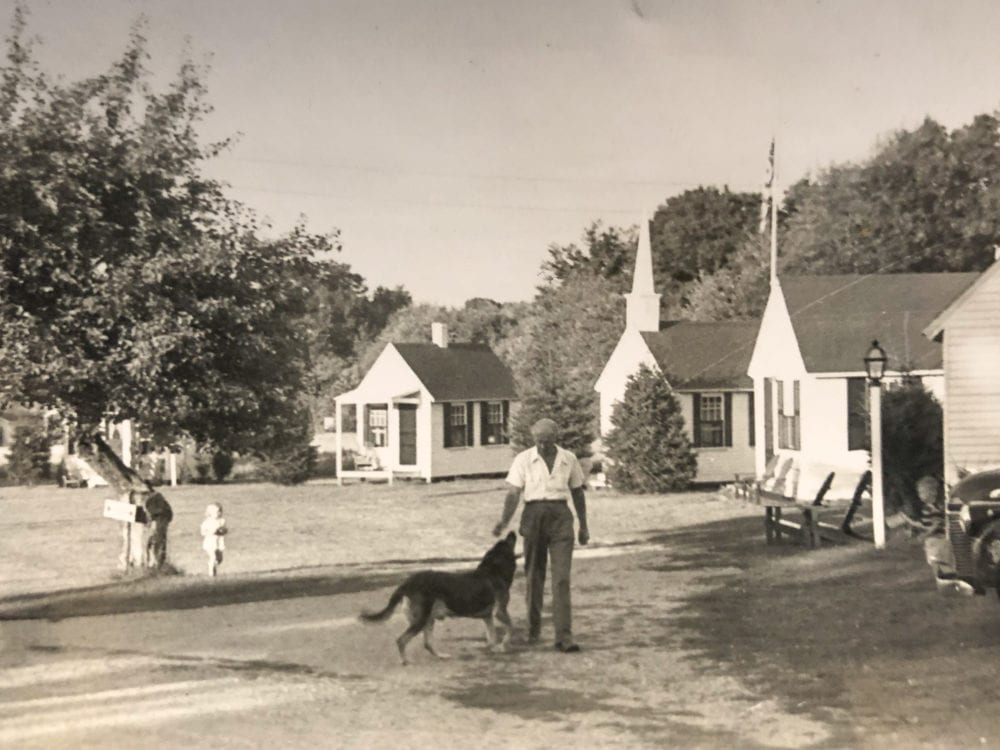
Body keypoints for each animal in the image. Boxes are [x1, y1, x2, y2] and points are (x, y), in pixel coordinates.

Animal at [360, 532, 516, 668]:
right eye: (508, 542)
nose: (512, 532)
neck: (493, 570)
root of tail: (407, 584)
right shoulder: (500, 612)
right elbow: (510, 627)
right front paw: (504, 645)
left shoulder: (487, 617)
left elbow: (492, 636)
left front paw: (495, 648)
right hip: (421, 620)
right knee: (401, 640)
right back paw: (406, 661)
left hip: (428, 620)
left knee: (427, 643)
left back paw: (441, 656)